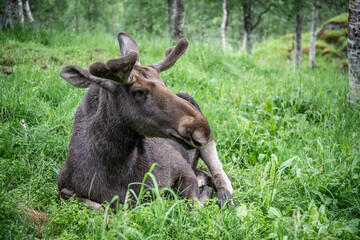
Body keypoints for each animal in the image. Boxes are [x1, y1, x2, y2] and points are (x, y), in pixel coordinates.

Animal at [58, 32, 233, 209]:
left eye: (164, 83)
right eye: (138, 91)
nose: (202, 129)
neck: (116, 168)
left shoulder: (182, 168)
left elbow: (193, 205)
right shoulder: (64, 188)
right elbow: (97, 205)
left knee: (219, 176)